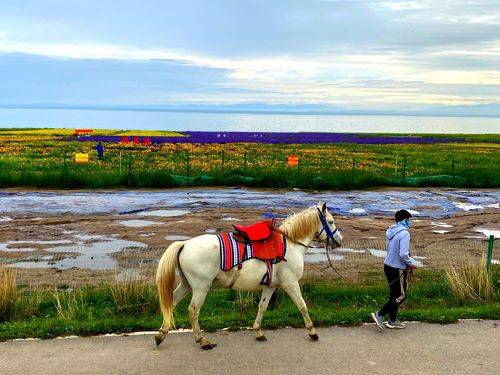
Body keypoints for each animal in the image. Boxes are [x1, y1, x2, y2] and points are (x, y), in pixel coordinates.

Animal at [156, 201, 344, 352]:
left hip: (186, 285)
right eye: (331, 221)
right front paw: (312, 332)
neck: (291, 244)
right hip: (201, 287)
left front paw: (258, 332)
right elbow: (302, 306)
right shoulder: (290, 283)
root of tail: (185, 244)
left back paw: (160, 335)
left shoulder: (271, 286)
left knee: (171, 303)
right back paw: (202, 341)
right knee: (193, 310)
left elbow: (262, 307)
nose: (339, 240)